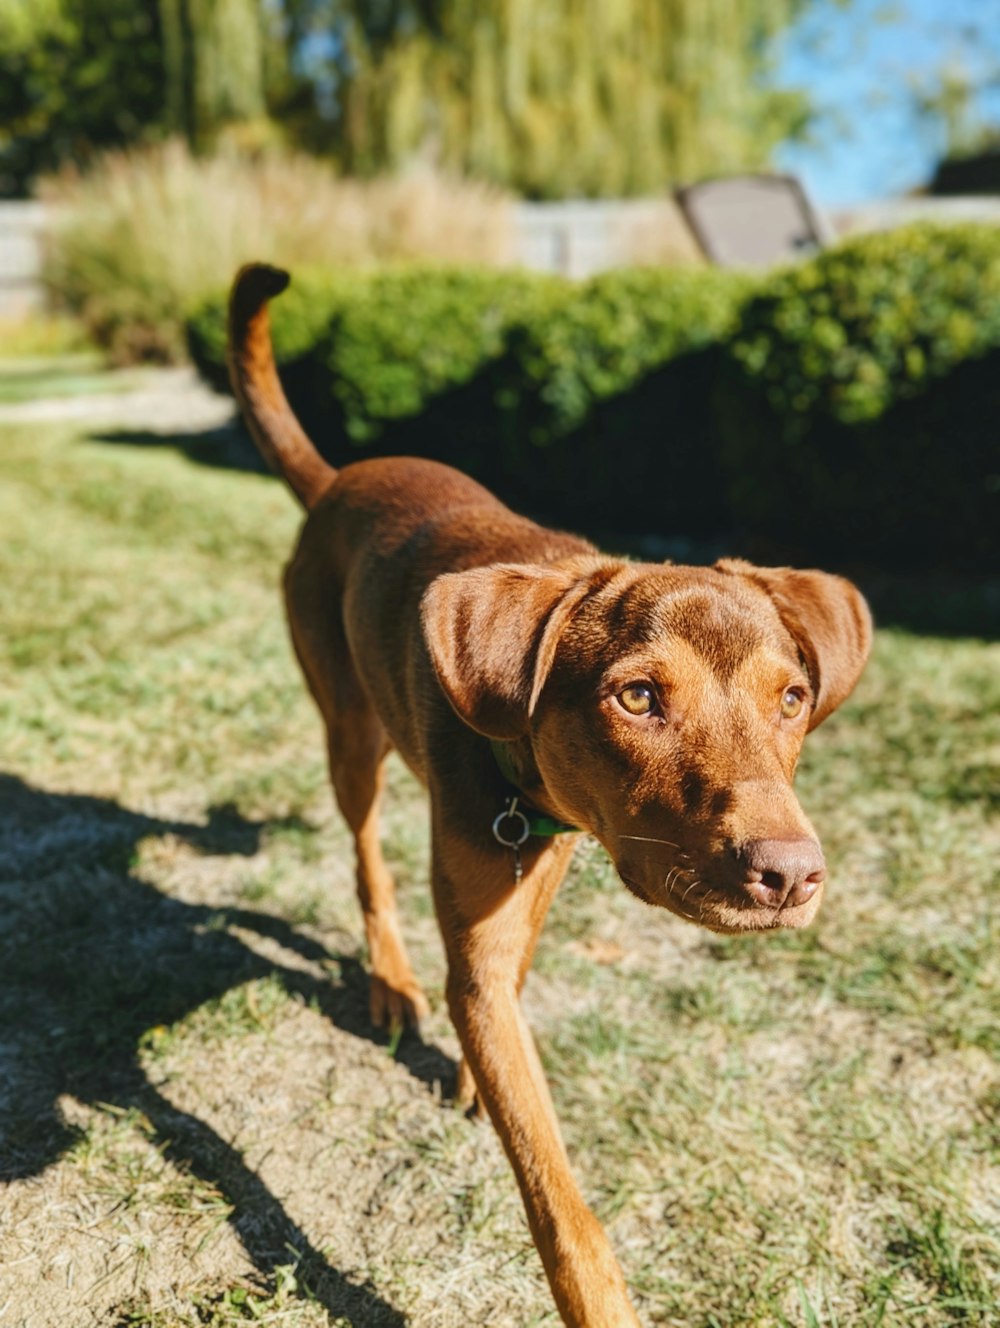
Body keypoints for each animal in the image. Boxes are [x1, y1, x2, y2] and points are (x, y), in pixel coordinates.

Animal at [225, 264, 865, 1322]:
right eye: (637, 697)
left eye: (793, 699)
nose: (791, 878)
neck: (523, 777)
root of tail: (338, 480)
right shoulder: (484, 915)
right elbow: (558, 1195)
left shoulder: (555, 854)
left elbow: (511, 993)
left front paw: (481, 1068)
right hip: (349, 730)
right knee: (364, 853)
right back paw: (389, 977)